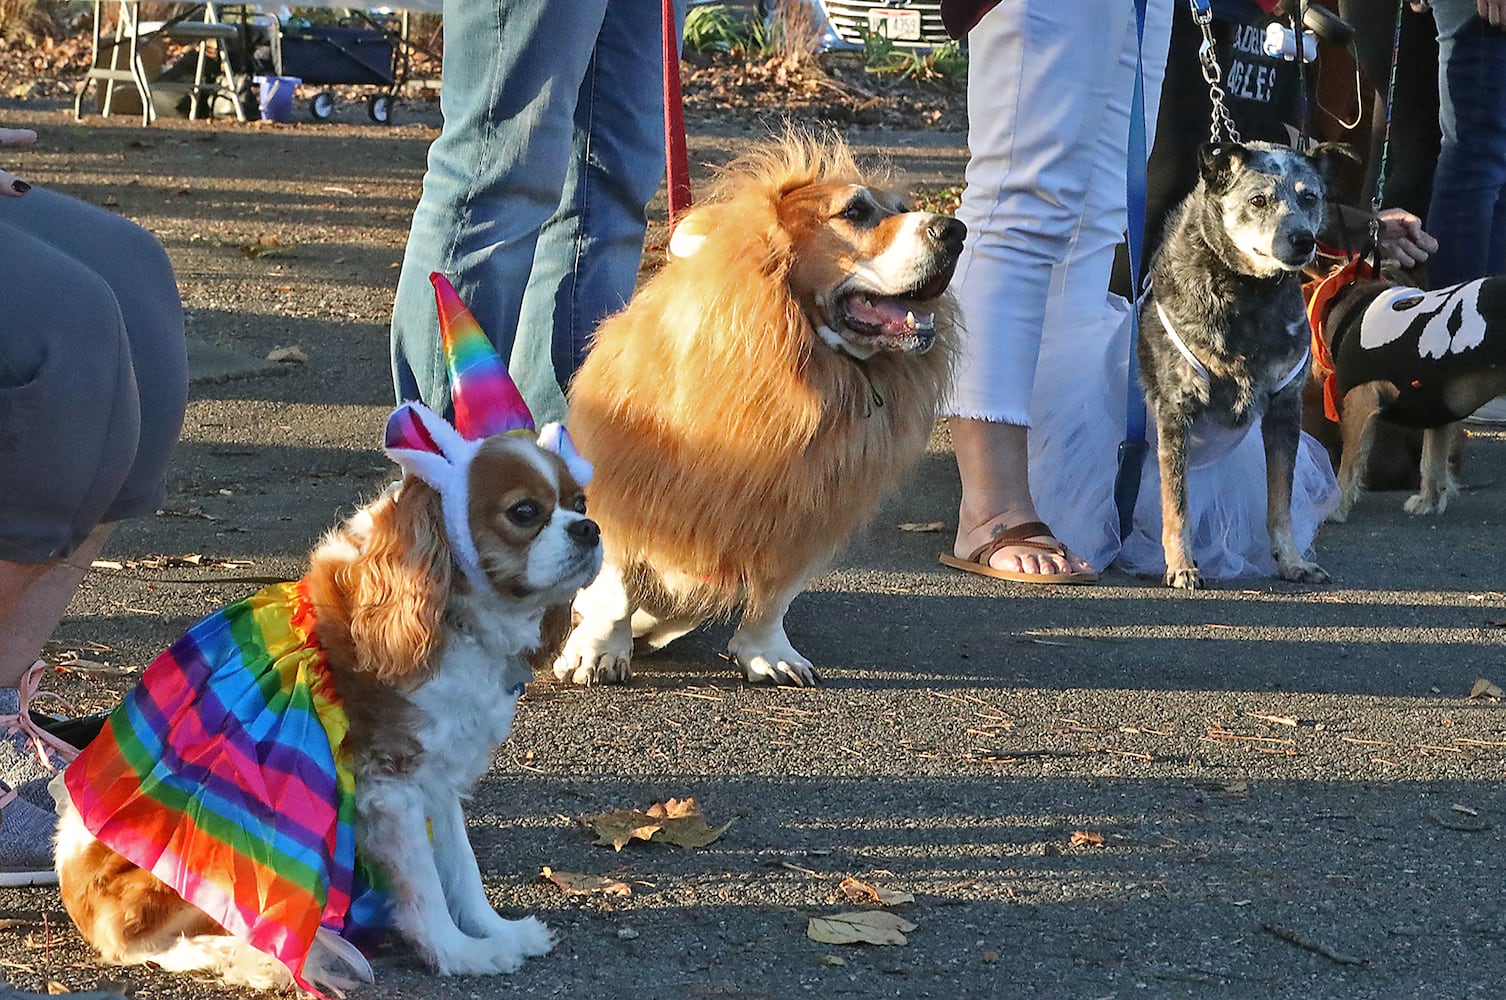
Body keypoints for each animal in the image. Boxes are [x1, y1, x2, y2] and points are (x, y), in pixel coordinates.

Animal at [1138, 141, 1355, 593]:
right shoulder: (1175, 413)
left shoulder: (1285, 410)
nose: (1303, 240)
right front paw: (1181, 565)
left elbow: (1280, 501)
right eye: (1258, 200)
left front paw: (1292, 561)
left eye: (1310, 197)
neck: (1248, 299)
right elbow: (1177, 504)